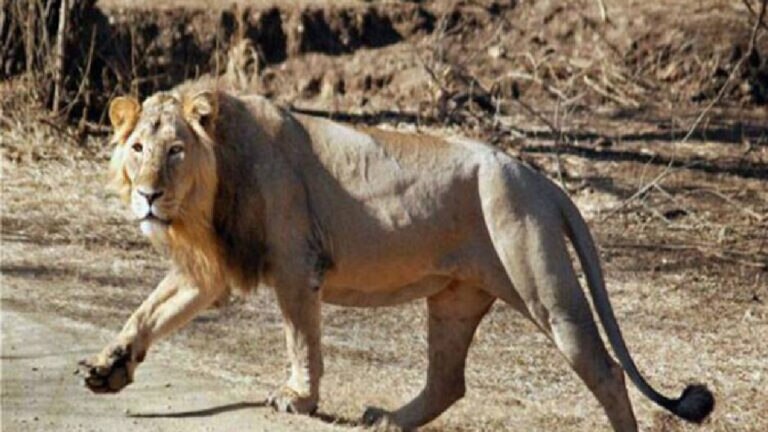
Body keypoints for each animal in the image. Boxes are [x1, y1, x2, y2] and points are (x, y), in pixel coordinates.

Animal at [78, 82, 714, 431]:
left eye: (175, 151)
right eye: (137, 148)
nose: (148, 195)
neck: (206, 197)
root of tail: (538, 177)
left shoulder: (296, 265)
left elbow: (300, 338)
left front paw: (298, 398)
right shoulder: (210, 269)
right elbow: (148, 311)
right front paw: (109, 368)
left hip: (544, 287)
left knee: (606, 371)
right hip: (455, 299)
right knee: (448, 382)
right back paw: (387, 420)